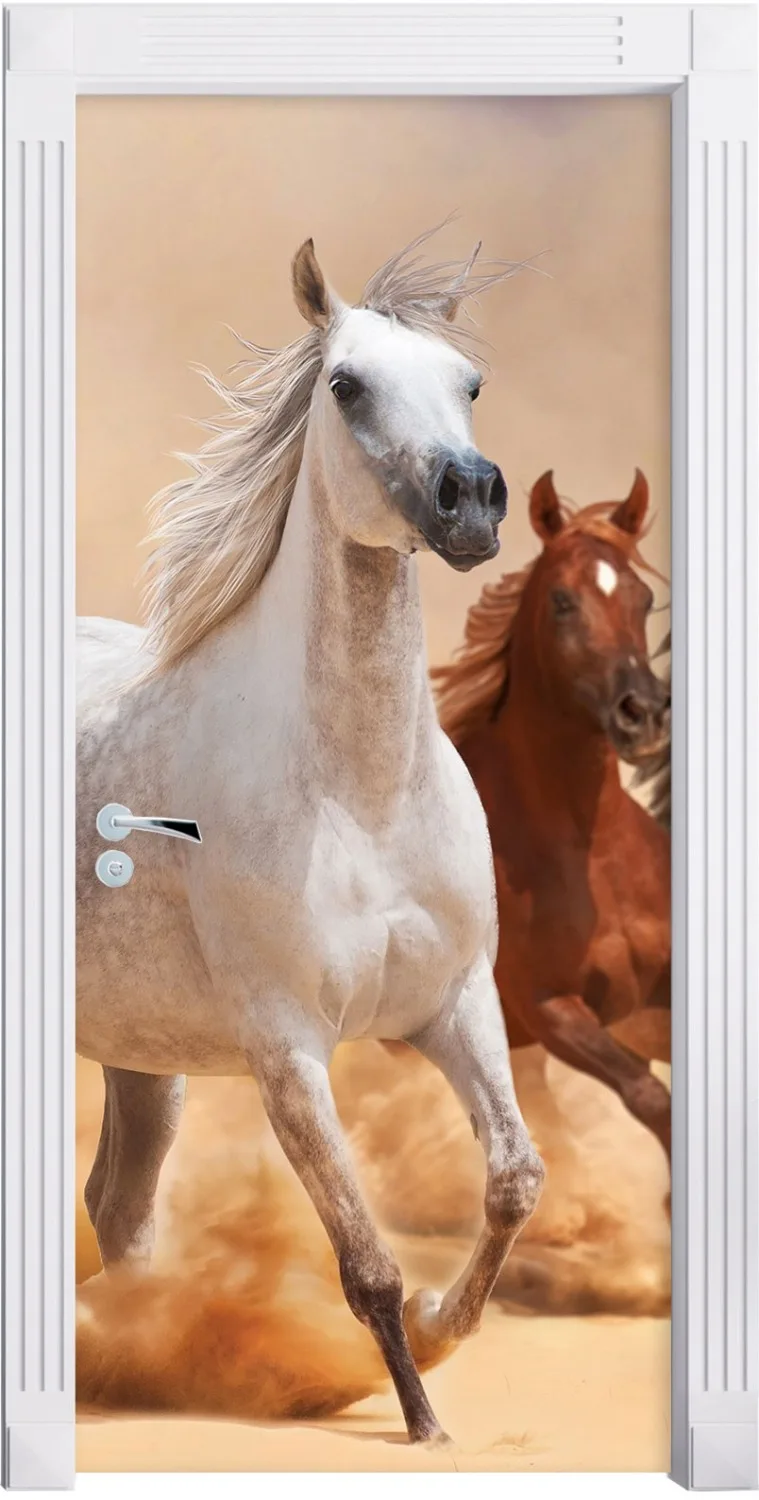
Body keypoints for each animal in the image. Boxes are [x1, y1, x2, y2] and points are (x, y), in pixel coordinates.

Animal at [76, 230, 545, 1448]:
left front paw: (443, 1327)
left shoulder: (454, 1002)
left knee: (120, 1211)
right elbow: (365, 1260)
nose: (471, 501)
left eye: (470, 384)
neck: (363, 798)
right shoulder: (287, 1049)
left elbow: (513, 1180)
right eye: (346, 385)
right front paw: (423, 1423)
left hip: (144, 1056)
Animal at [432, 470, 672, 1171]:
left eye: (645, 598)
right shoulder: (553, 1011)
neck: (593, 854)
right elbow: (651, 1097)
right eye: (563, 601)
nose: (644, 714)